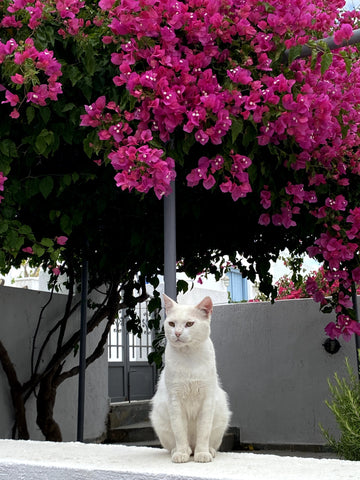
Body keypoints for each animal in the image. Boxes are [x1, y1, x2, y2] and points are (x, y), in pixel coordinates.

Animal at [150, 294, 231, 464]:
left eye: (189, 324)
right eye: (172, 323)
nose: (177, 333)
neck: (189, 358)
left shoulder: (207, 400)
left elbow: (204, 432)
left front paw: (203, 454)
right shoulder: (175, 401)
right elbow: (179, 431)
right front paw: (181, 454)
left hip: (221, 418)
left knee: (207, 442)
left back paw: (208, 451)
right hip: (160, 421)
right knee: (177, 444)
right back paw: (181, 451)